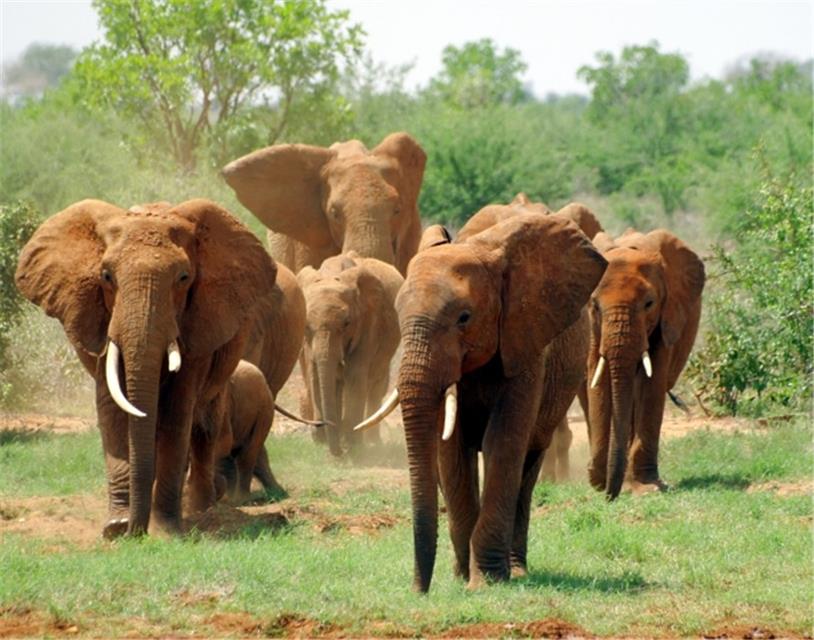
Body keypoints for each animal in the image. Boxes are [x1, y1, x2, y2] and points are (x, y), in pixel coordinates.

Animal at [16, 199, 278, 537]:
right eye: (106, 276)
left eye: (183, 278)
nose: (134, 531)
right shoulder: (102, 321)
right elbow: (112, 408)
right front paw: (116, 527)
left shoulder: (195, 324)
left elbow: (177, 411)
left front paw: (166, 531)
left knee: (203, 427)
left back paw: (201, 508)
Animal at [297, 252, 403, 457]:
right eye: (305, 326)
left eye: (347, 323)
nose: (337, 454)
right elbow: (315, 374)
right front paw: (322, 441)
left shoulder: (369, 321)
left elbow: (355, 375)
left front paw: (352, 445)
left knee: (376, 384)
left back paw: (372, 442)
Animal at [356, 210, 607, 591]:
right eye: (398, 314)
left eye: (464, 318)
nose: (419, 592)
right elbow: (451, 450)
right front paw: (463, 578)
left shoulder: (525, 344)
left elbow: (502, 444)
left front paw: (486, 582)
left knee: (527, 468)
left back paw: (517, 569)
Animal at [586, 228, 705, 499]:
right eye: (594, 304)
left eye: (649, 304)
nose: (609, 495)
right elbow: (597, 379)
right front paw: (598, 481)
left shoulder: (667, 317)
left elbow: (652, 385)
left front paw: (647, 488)